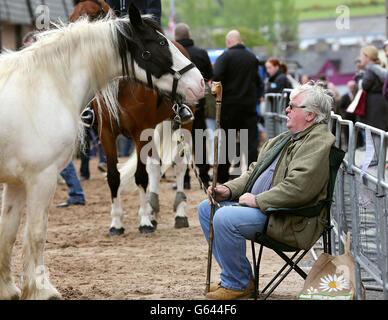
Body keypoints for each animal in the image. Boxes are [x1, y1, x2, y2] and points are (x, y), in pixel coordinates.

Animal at [0, 5, 203, 300]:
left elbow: (11, 232)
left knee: (175, 166)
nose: (200, 82)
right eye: (160, 44)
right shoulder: (41, 176)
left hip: (180, 126)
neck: (45, 84)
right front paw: (38, 289)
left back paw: (176, 212)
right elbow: (30, 232)